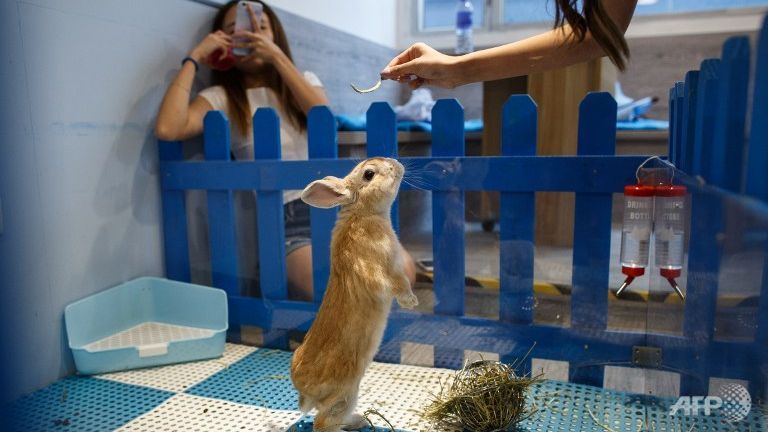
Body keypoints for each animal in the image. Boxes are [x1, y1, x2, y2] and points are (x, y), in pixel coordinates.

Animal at [290, 158, 420, 432]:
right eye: (369, 174)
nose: (396, 164)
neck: (363, 212)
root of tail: (302, 389)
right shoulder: (385, 271)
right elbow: (399, 284)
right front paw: (411, 302)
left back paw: (358, 420)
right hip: (345, 394)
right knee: (323, 422)